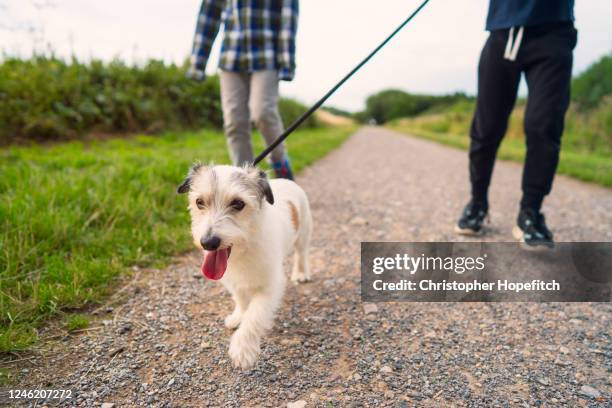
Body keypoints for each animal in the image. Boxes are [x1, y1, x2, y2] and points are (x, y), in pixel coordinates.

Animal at [176, 163, 310, 370]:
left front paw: (243, 349)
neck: (245, 248)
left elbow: (254, 315)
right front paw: (238, 316)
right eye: (199, 202)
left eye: (238, 203)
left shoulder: (270, 286)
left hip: (303, 235)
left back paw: (300, 273)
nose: (208, 243)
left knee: (301, 254)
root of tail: (287, 181)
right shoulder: (232, 281)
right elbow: (240, 299)